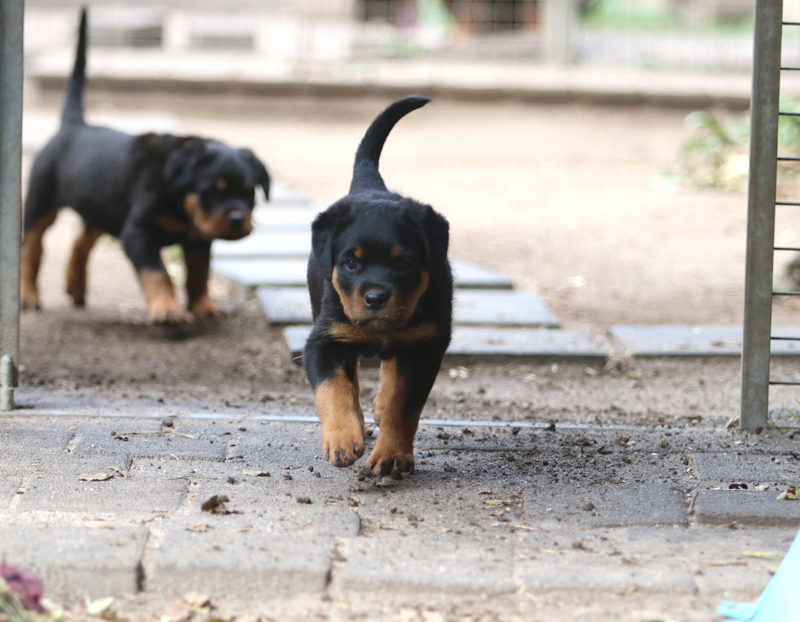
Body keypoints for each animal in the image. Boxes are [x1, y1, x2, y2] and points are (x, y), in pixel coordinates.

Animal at [20, 9, 270, 324]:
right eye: (212, 191)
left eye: (250, 192)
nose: (238, 219)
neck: (176, 196)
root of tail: (74, 125)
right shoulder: (138, 232)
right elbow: (157, 273)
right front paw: (168, 309)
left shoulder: (198, 237)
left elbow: (198, 273)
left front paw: (204, 308)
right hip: (41, 202)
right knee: (31, 245)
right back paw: (28, 295)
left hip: (102, 208)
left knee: (81, 239)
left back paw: (75, 286)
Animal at [304, 96, 452, 480]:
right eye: (351, 263)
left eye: (403, 263)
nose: (375, 297)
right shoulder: (324, 341)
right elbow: (334, 388)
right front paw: (342, 438)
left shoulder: (427, 347)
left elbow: (405, 406)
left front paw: (392, 456)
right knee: (353, 378)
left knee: (391, 371)